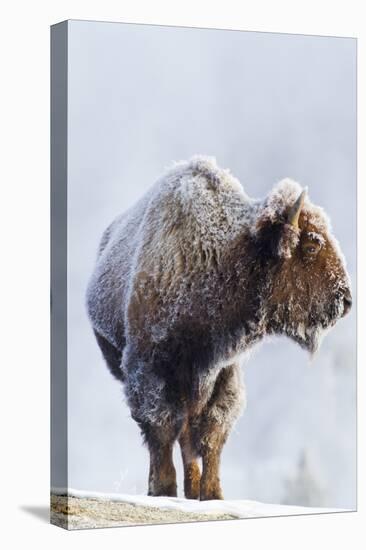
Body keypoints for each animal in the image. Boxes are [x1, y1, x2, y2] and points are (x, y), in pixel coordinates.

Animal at [86, 156, 352, 504]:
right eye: (310, 246)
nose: (346, 300)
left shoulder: (223, 372)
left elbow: (212, 433)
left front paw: (212, 494)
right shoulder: (150, 369)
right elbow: (161, 428)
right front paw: (163, 489)